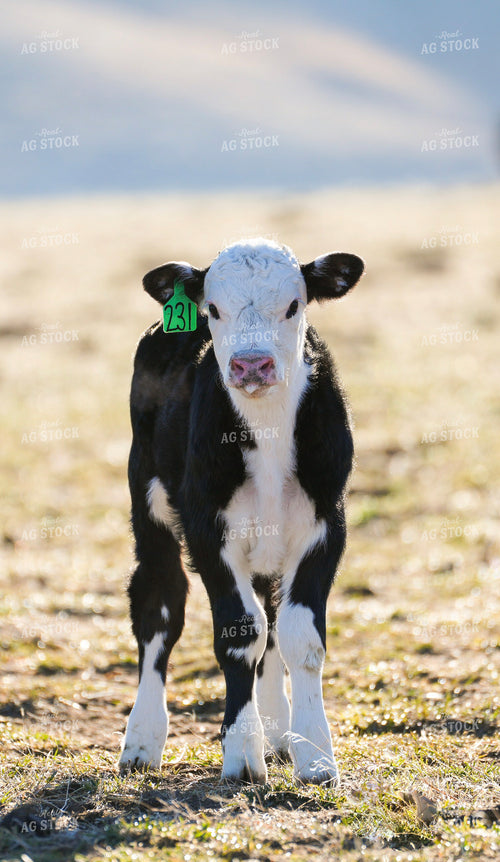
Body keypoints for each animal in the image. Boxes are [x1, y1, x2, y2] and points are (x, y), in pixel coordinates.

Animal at [119, 238, 364, 785]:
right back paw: (142, 741)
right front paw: (243, 756)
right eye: (213, 308)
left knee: (270, 613)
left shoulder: (326, 526)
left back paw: (278, 732)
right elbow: (239, 633)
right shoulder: (207, 530)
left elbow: (299, 637)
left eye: (293, 305)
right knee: (158, 607)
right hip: (149, 502)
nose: (252, 365)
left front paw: (315, 755)